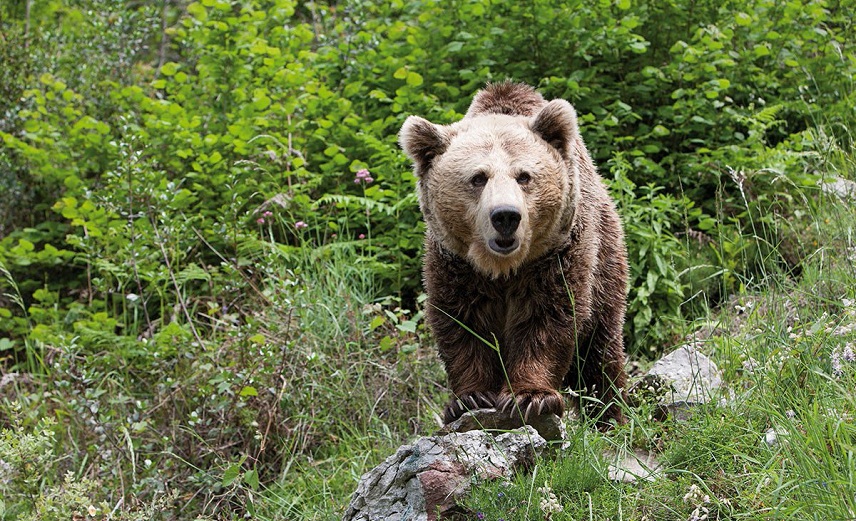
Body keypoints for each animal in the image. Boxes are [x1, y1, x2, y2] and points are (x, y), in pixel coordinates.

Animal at [400, 81, 628, 428]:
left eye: (524, 176)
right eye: (478, 177)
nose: (506, 216)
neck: (503, 267)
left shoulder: (557, 255)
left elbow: (549, 318)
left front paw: (531, 396)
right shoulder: (455, 264)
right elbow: (462, 323)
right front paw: (469, 398)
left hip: (607, 260)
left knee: (599, 353)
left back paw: (609, 415)